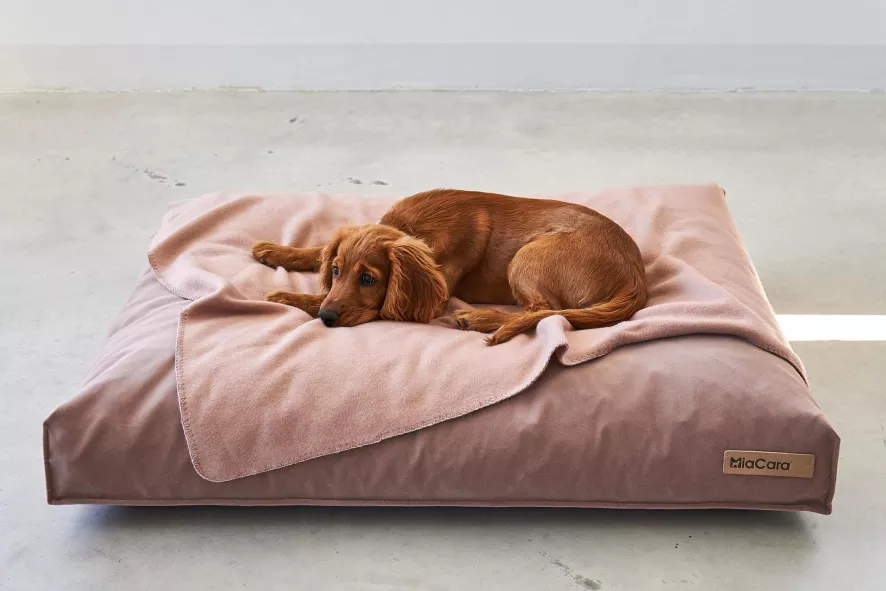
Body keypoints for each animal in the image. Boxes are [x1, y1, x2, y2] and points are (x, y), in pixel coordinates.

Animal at [252, 189, 647, 345]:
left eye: (367, 279)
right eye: (336, 271)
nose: (327, 318)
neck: (413, 229)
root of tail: (636, 277)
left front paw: (287, 297)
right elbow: (320, 248)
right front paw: (275, 251)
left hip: (527, 257)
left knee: (543, 310)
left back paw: (479, 317)